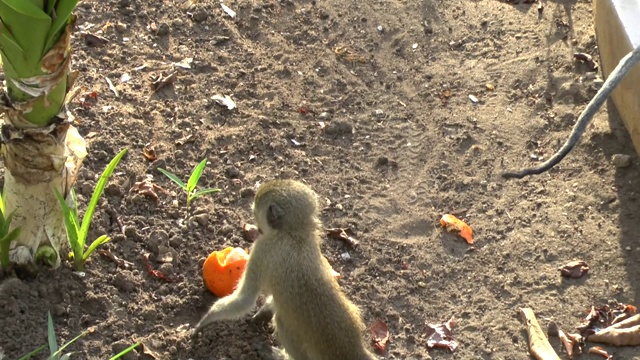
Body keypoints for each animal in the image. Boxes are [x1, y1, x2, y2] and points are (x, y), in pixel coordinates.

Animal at [192, 179, 378, 360]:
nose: (256, 226)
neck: (295, 234)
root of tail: (353, 349)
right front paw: (263, 312)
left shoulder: (263, 247)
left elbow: (244, 299)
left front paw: (204, 322)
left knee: (282, 321)